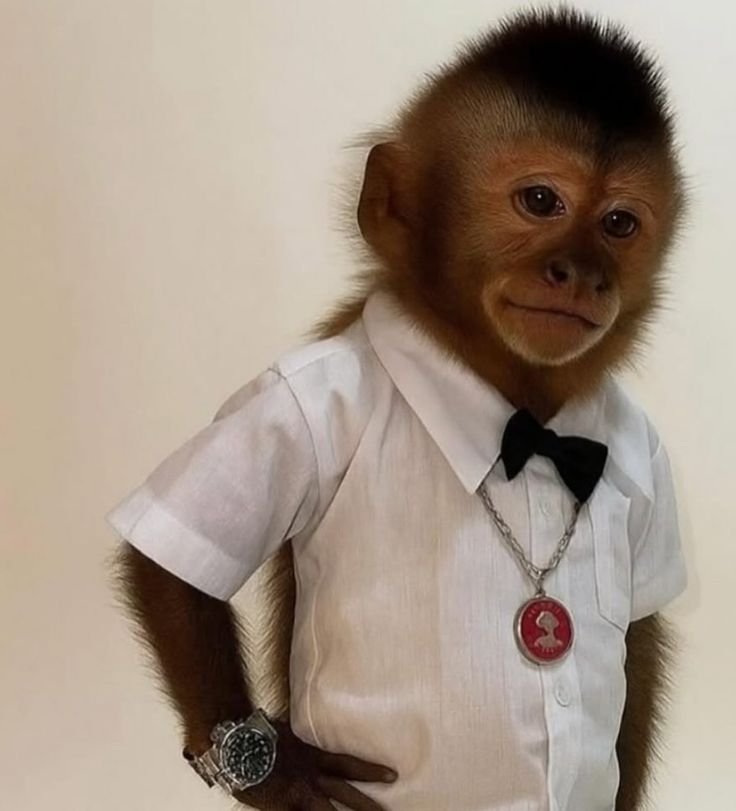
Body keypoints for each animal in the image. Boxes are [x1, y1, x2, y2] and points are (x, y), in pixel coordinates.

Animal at [107, 8, 688, 811]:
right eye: (541, 202)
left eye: (620, 224)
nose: (582, 273)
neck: (526, 423)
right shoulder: (307, 395)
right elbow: (167, 568)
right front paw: (284, 773)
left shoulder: (645, 450)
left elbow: (636, 626)